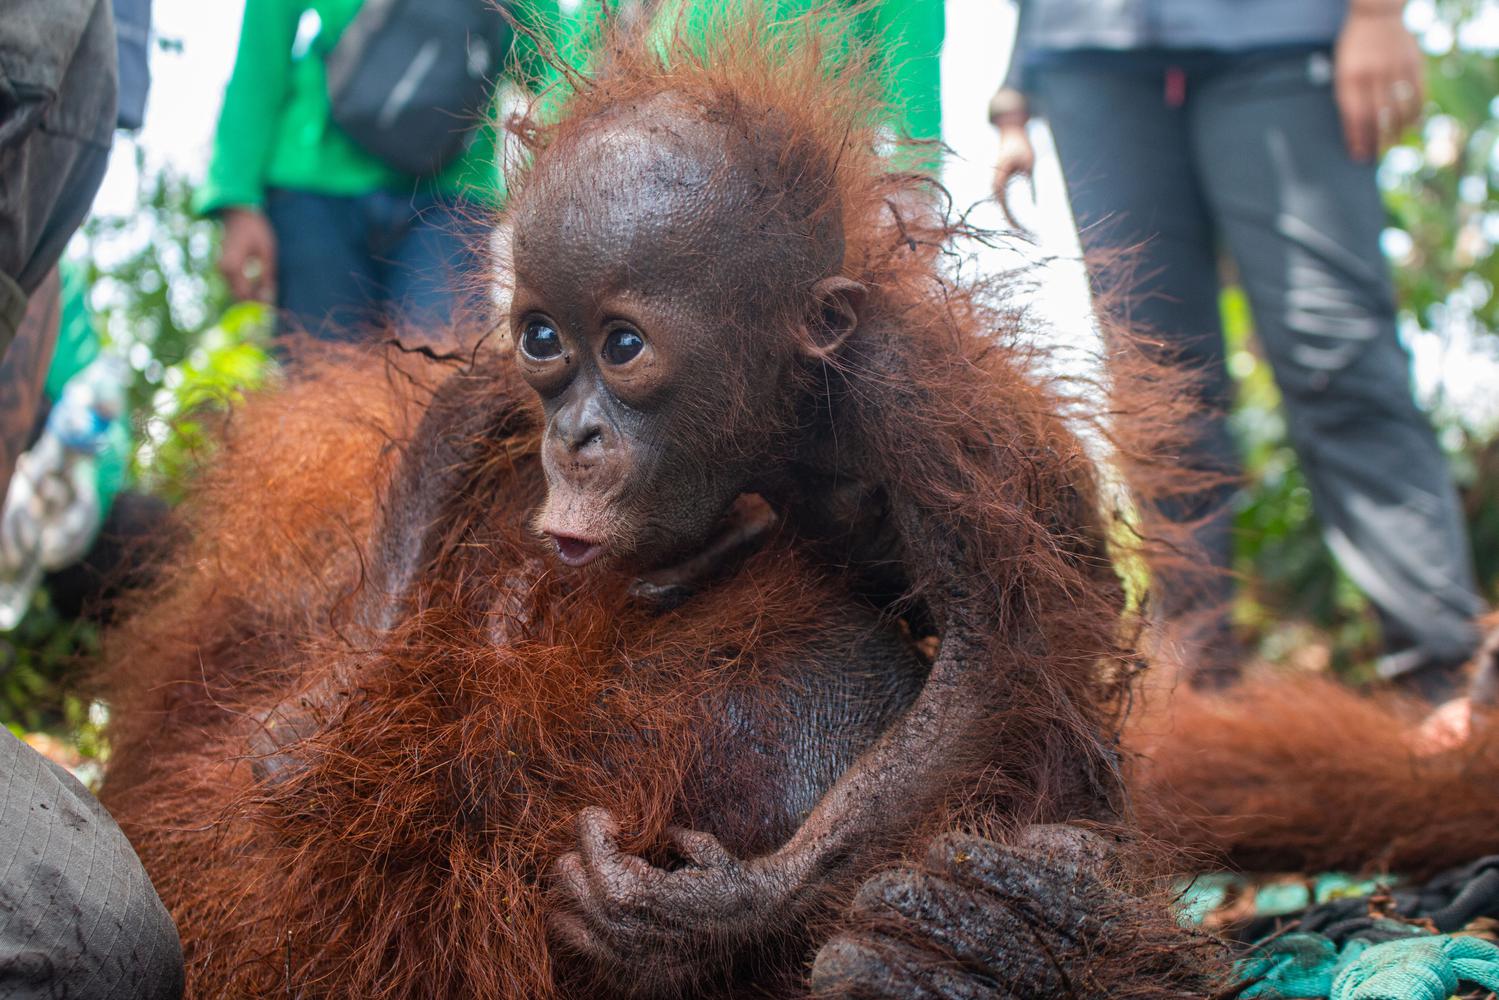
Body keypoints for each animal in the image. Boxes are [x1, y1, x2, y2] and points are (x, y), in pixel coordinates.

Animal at [98, 7, 1222, 997]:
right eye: (543, 338)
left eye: (626, 346)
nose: (573, 439)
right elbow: (466, 407)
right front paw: (326, 697)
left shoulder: (903, 396)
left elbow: (987, 646)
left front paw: (713, 913)